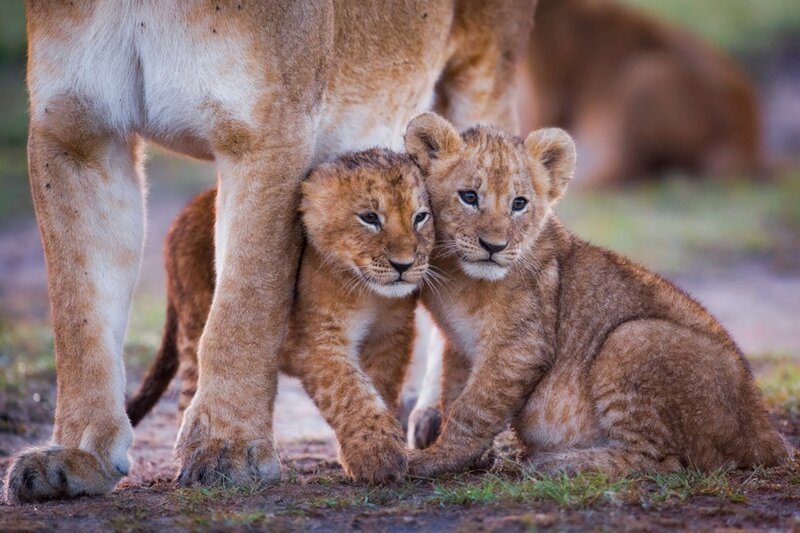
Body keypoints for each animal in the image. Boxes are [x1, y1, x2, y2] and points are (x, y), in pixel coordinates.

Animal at [120, 149, 433, 486]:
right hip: (193, 326)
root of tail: (186, 210)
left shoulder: (391, 336)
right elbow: (348, 391)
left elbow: (378, 388)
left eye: (420, 217)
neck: (369, 294)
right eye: (370, 217)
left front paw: (366, 451)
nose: (403, 265)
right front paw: (379, 456)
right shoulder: (315, 342)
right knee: (191, 395)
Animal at [401, 113, 790, 478]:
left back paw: (555, 463)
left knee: (658, 459)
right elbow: (454, 394)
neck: (460, 278)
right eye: (469, 197)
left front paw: (434, 458)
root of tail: (764, 430)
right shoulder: (458, 344)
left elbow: (473, 408)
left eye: (519, 203)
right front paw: (468, 455)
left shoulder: (521, 346)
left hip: (631, 337)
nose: (494, 246)